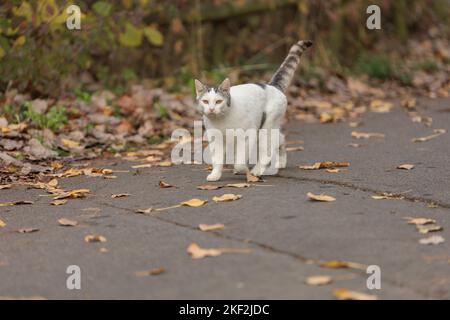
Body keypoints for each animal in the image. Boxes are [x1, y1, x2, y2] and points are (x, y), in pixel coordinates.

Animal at [195, 40, 312, 181]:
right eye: (205, 101)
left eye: (218, 101)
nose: (211, 109)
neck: (222, 119)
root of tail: (272, 86)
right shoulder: (216, 139)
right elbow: (217, 159)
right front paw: (215, 175)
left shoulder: (247, 136)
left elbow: (240, 162)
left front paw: (243, 170)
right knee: (280, 139)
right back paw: (281, 162)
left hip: (265, 128)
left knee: (268, 150)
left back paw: (257, 171)